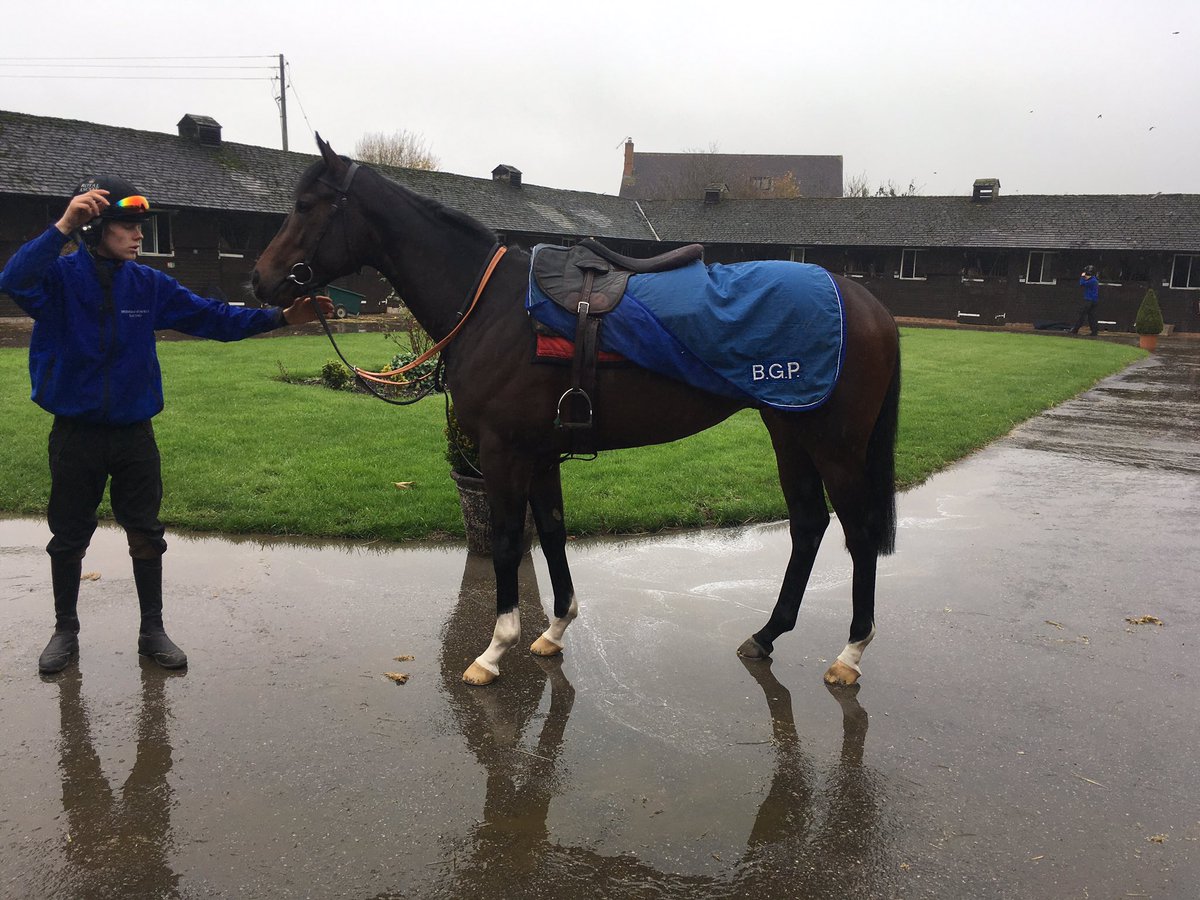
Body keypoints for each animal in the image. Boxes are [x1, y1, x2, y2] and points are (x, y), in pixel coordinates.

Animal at [252, 136, 901, 689]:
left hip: (833, 444)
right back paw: (766, 636)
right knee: (808, 525)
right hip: (788, 428)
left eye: (306, 205)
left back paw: (849, 655)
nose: (261, 280)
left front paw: (494, 651)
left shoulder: (503, 452)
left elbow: (509, 541)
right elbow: (554, 531)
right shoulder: (539, 452)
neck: (492, 307)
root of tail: (866, 302)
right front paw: (555, 629)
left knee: (858, 531)